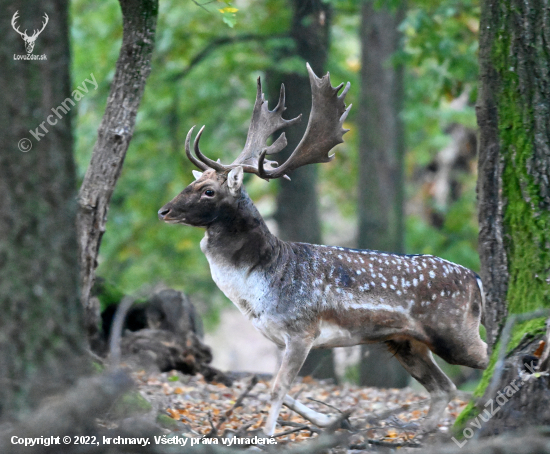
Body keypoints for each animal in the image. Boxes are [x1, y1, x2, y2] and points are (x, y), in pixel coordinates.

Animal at [157, 64, 490, 436]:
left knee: (490, 353)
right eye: (192, 182)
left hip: (453, 330)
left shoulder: (303, 330)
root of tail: (475, 279)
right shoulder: (278, 338)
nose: (164, 211)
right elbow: (281, 389)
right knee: (444, 387)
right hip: (405, 341)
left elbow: (278, 389)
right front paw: (332, 420)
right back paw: (422, 430)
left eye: (209, 191)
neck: (258, 288)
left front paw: (268, 435)